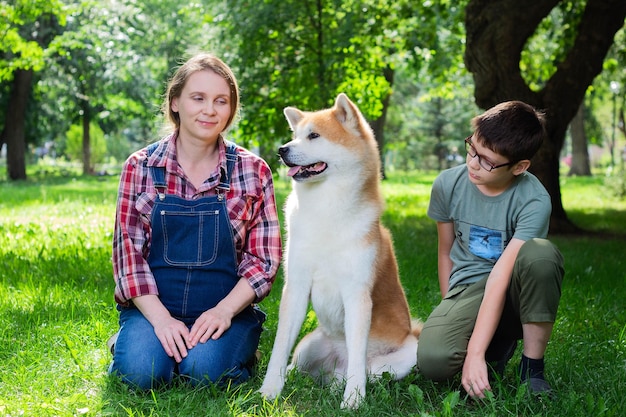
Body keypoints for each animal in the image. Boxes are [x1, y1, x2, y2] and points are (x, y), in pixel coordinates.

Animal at [256, 92, 422, 408]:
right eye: (295, 136)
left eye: (314, 136)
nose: (281, 150)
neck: (325, 209)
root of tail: (334, 364)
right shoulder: (296, 287)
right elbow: (280, 348)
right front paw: (269, 391)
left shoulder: (357, 295)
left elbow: (358, 358)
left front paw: (354, 400)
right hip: (309, 345)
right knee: (297, 365)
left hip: (408, 355)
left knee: (362, 371)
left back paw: (339, 387)